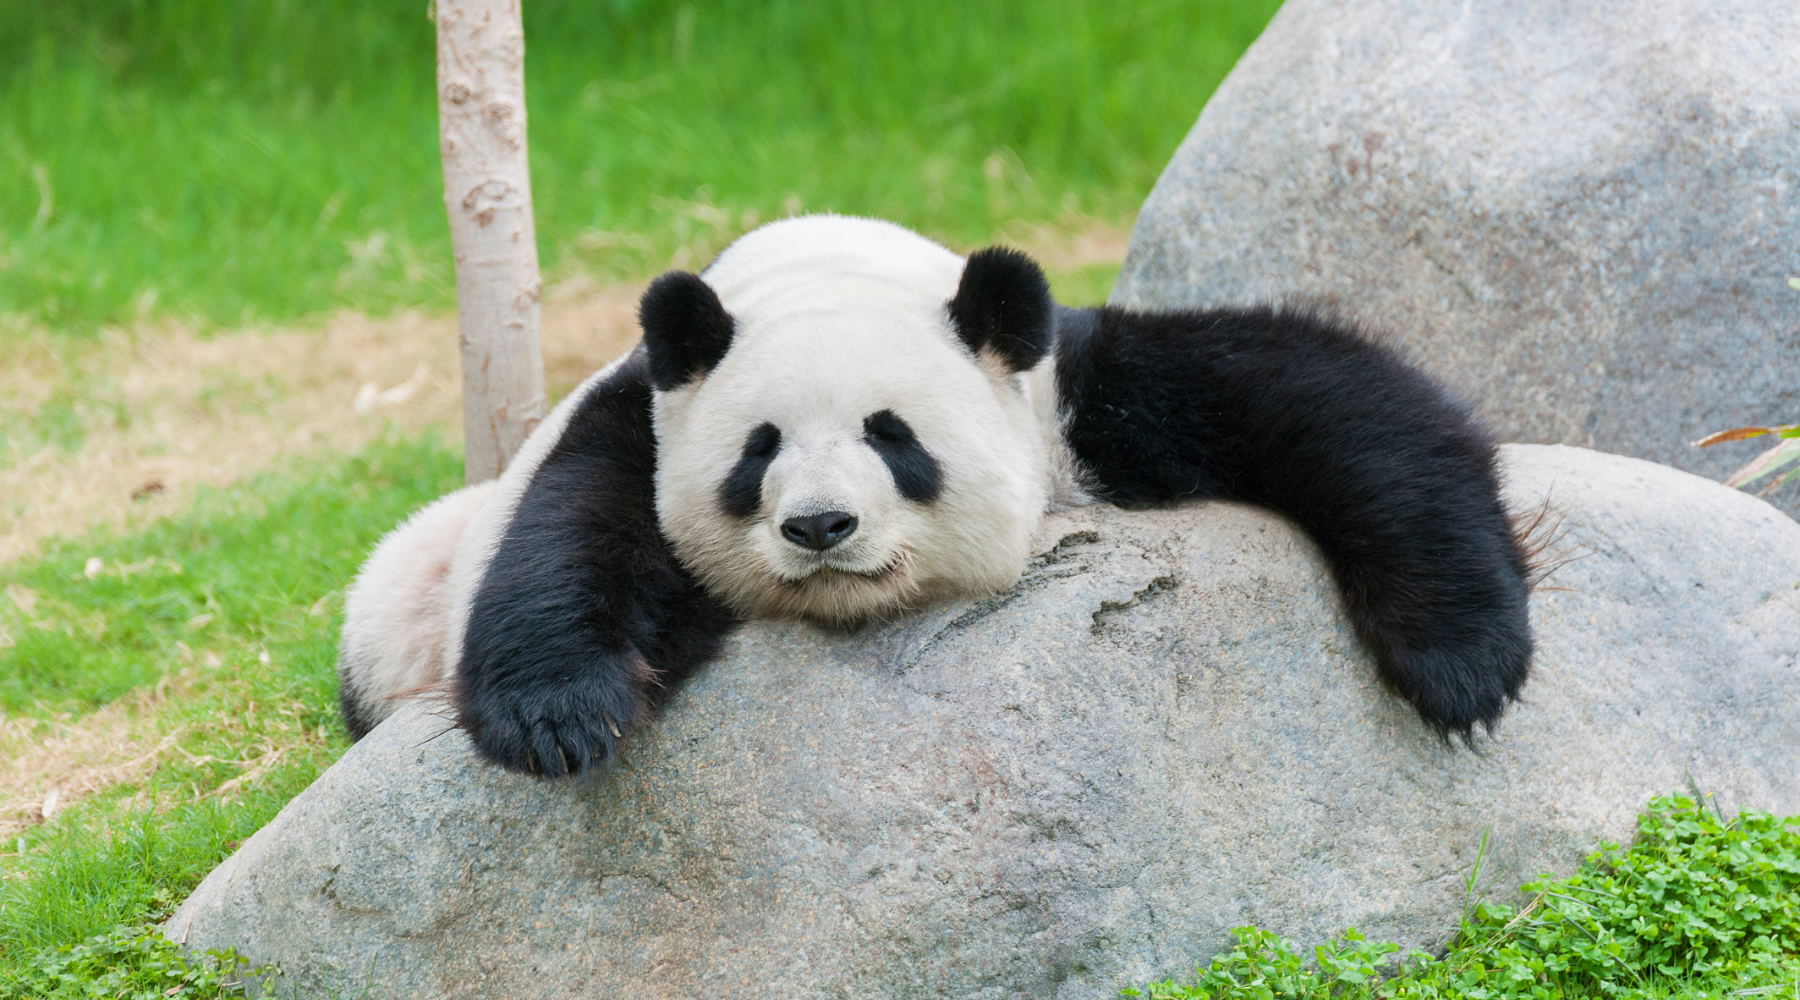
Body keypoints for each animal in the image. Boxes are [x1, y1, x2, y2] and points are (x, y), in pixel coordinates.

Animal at [338, 214, 1533, 776]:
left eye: (893, 436)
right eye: (758, 453)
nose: (822, 526)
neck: (821, 264)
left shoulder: (1070, 394)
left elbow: (1325, 399)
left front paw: (1462, 661)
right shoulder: (641, 412)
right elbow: (572, 528)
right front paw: (560, 715)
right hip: (396, 606)